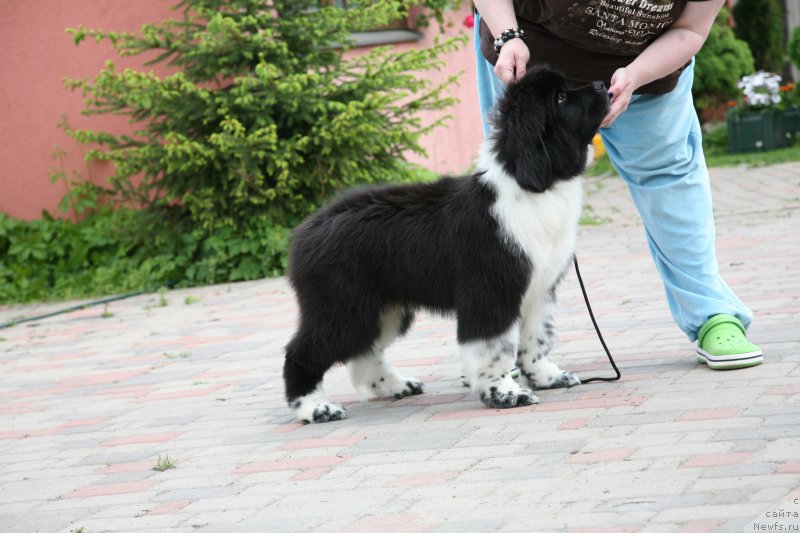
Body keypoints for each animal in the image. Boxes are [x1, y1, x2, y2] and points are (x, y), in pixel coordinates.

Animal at [284, 66, 608, 422]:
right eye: (561, 98)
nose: (602, 83)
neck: (530, 187)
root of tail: (306, 229)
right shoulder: (489, 292)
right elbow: (495, 349)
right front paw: (504, 394)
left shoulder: (538, 290)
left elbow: (537, 338)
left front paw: (546, 377)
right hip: (342, 308)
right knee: (302, 352)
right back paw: (316, 408)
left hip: (383, 308)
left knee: (364, 354)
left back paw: (395, 386)